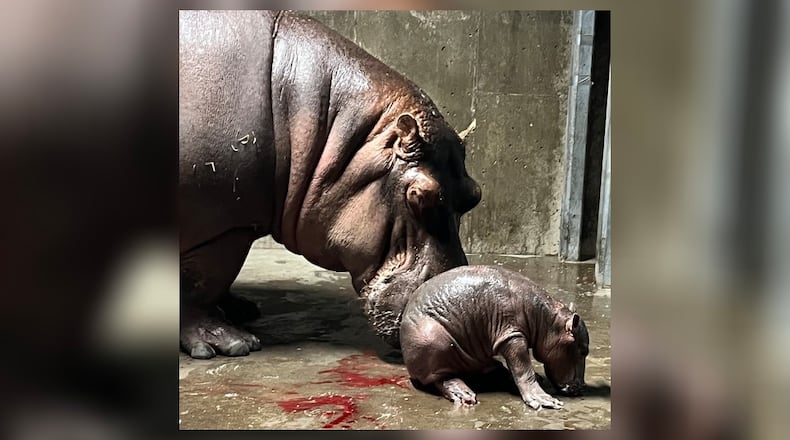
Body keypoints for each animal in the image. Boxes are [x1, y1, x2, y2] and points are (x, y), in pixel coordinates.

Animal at [179, 11, 481, 358]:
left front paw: (241, 308)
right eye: (419, 196)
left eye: (475, 195)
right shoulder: (223, 226)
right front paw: (230, 344)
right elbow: (200, 284)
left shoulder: (238, 222)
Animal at [400, 265, 589, 409]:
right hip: (433, 341)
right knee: (441, 378)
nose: (581, 387)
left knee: (490, 368)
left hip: (474, 356)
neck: (548, 321)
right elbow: (523, 368)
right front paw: (544, 400)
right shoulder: (511, 336)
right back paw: (465, 395)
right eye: (583, 351)